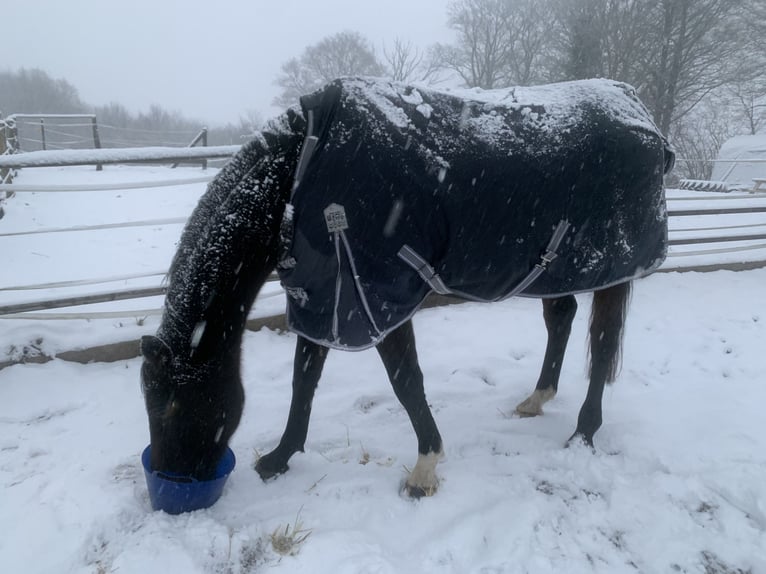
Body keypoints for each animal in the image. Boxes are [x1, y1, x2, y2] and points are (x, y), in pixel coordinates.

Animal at [141, 77, 676, 500]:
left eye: (173, 407)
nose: (175, 478)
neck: (303, 166)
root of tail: (640, 113)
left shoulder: (375, 298)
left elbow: (405, 382)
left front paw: (424, 471)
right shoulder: (326, 298)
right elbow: (304, 379)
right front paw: (279, 458)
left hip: (612, 272)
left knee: (602, 346)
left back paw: (583, 434)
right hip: (553, 270)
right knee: (561, 319)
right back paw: (536, 400)